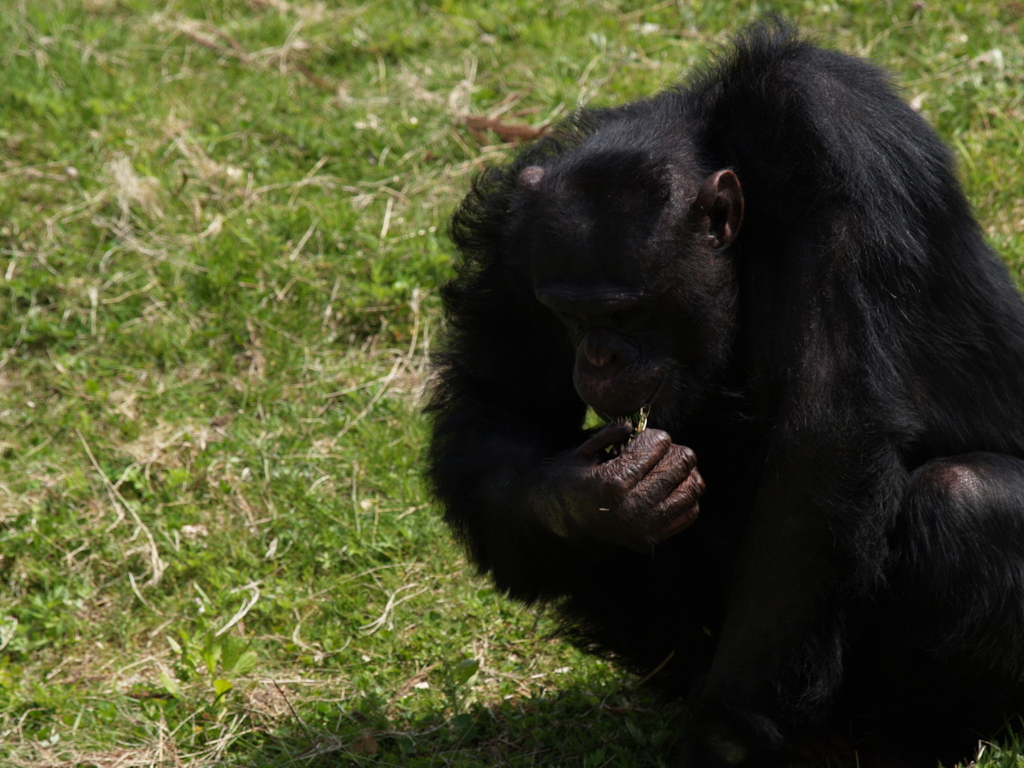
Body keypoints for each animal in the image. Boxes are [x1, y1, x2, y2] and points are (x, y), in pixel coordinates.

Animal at [425, 19, 1024, 768]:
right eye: (567, 314)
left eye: (627, 311)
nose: (599, 355)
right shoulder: (515, 233)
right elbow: (498, 411)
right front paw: (594, 496)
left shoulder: (837, 136)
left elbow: (822, 439)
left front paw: (727, 740)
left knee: (967, 499)